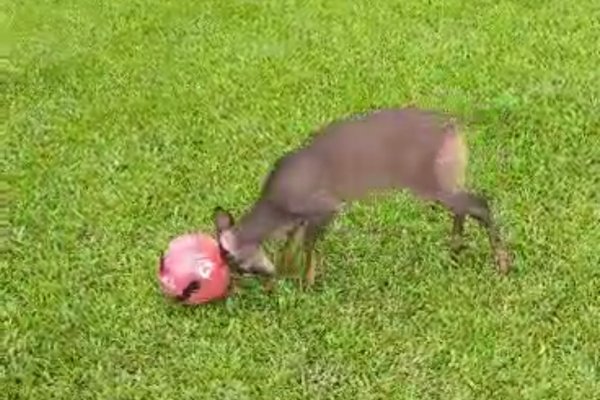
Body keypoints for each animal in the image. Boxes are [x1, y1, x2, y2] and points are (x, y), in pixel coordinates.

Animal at [211, 106, 510, 294]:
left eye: (238, 265)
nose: (267, 276)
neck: (277, 209)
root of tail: (454, 125)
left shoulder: (325, 207)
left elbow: (307, 247)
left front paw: (306, 284)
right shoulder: (300, 219)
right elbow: (290, 247)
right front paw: (285, 276)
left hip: (430, 179)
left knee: (480, 203)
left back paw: (502, 264)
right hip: (445, 177)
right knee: (464, 206)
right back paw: (456, 251)